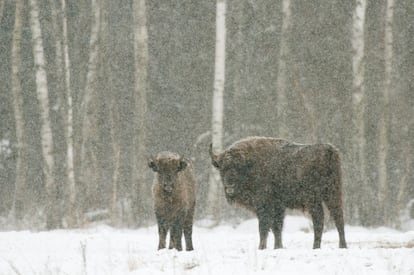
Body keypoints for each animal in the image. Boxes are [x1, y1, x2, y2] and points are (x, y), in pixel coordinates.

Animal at [209, 137, 348, 250]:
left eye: (238, 168)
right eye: (222, 169)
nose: (230, 187)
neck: (251, 165)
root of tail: (329, 151)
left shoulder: (264, 206)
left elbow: (264, 227)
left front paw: (262, 247)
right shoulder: (278, 207)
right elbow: (277, 227)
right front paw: (278, 247)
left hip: (315, 199)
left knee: (320, 219)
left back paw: (317, 247)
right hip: (333, 194)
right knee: (337, 218)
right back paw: (341, 246)